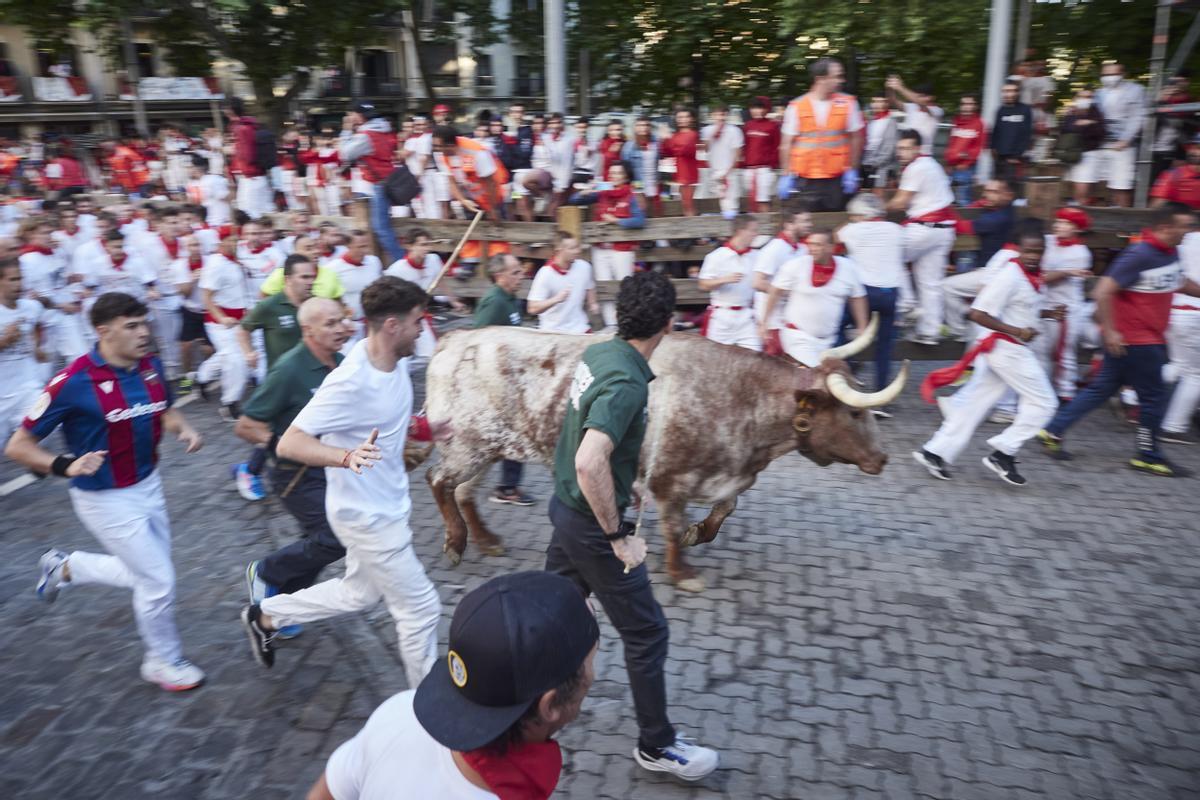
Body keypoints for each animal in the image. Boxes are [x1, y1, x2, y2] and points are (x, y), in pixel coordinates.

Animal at [427, 321, 902, 594]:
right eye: (854, 411)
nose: (882, 458)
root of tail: (458, 337)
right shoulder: (668, 481)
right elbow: (673, 527)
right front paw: (682, 572)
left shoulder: (725, 477)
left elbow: (725, 509)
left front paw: (699, 533)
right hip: (468, 443)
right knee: (439, 481)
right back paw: (456, 543)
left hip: (488, 446)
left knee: (464, 492)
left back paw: (487, 540)